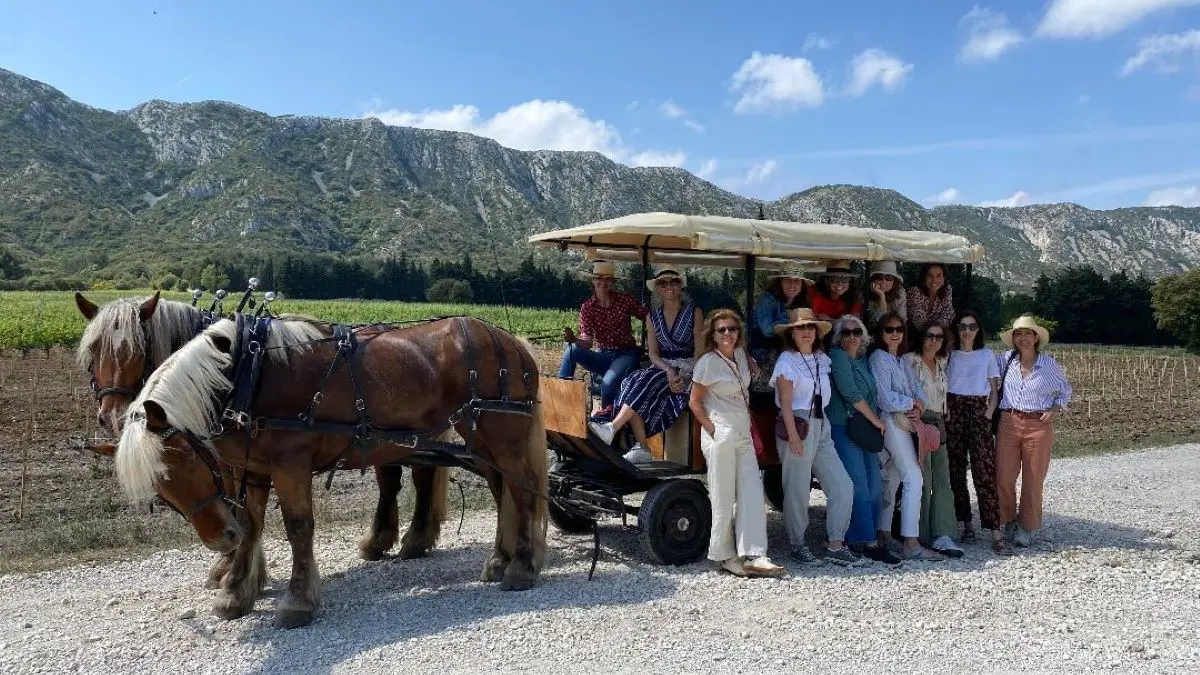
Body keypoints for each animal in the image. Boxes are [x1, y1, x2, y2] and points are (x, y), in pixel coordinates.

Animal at [76, 289, 451, 598]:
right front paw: (236, 570)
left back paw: (411, 540)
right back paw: (384, 541)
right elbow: (239, 508)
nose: (112, 416)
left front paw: (232, 569)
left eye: (137, 349)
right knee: (395, 480)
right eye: (92, 350)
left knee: (418, 478)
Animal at [113, 314, 549, 624]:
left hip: (502, 435)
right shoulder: (254, 467)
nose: (221, 539)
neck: (248, 373)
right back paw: (499, 559)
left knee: (523, 491)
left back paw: (522, 567)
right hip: (483, 441)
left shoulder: (290, 463)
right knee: (503, 490)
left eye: (187, 458)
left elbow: (298, 527)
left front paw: (298, 601)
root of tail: (513, 343)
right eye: (161, 489)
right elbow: (253, 525)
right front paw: (235, 593)